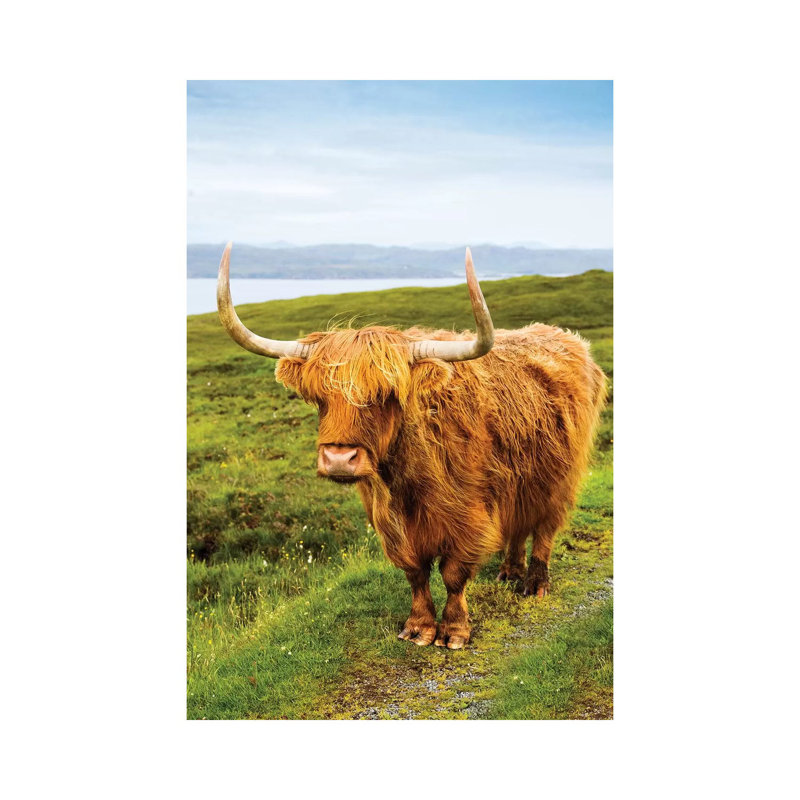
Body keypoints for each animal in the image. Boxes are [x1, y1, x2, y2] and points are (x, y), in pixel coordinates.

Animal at [217, 242, 607, 649]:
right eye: (321, 398)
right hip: (519, 481)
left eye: (387, 395)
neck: (405, 483)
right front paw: (419, 627)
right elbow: (415, 572)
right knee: (519, 525)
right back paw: (509, 571)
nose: (339, 458)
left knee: (545, 526)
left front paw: (454, 631)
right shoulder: (390, 521)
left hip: (559, 475)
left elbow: (453, 573)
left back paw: (535, 583)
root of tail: (566, 338)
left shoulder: (470, 514)